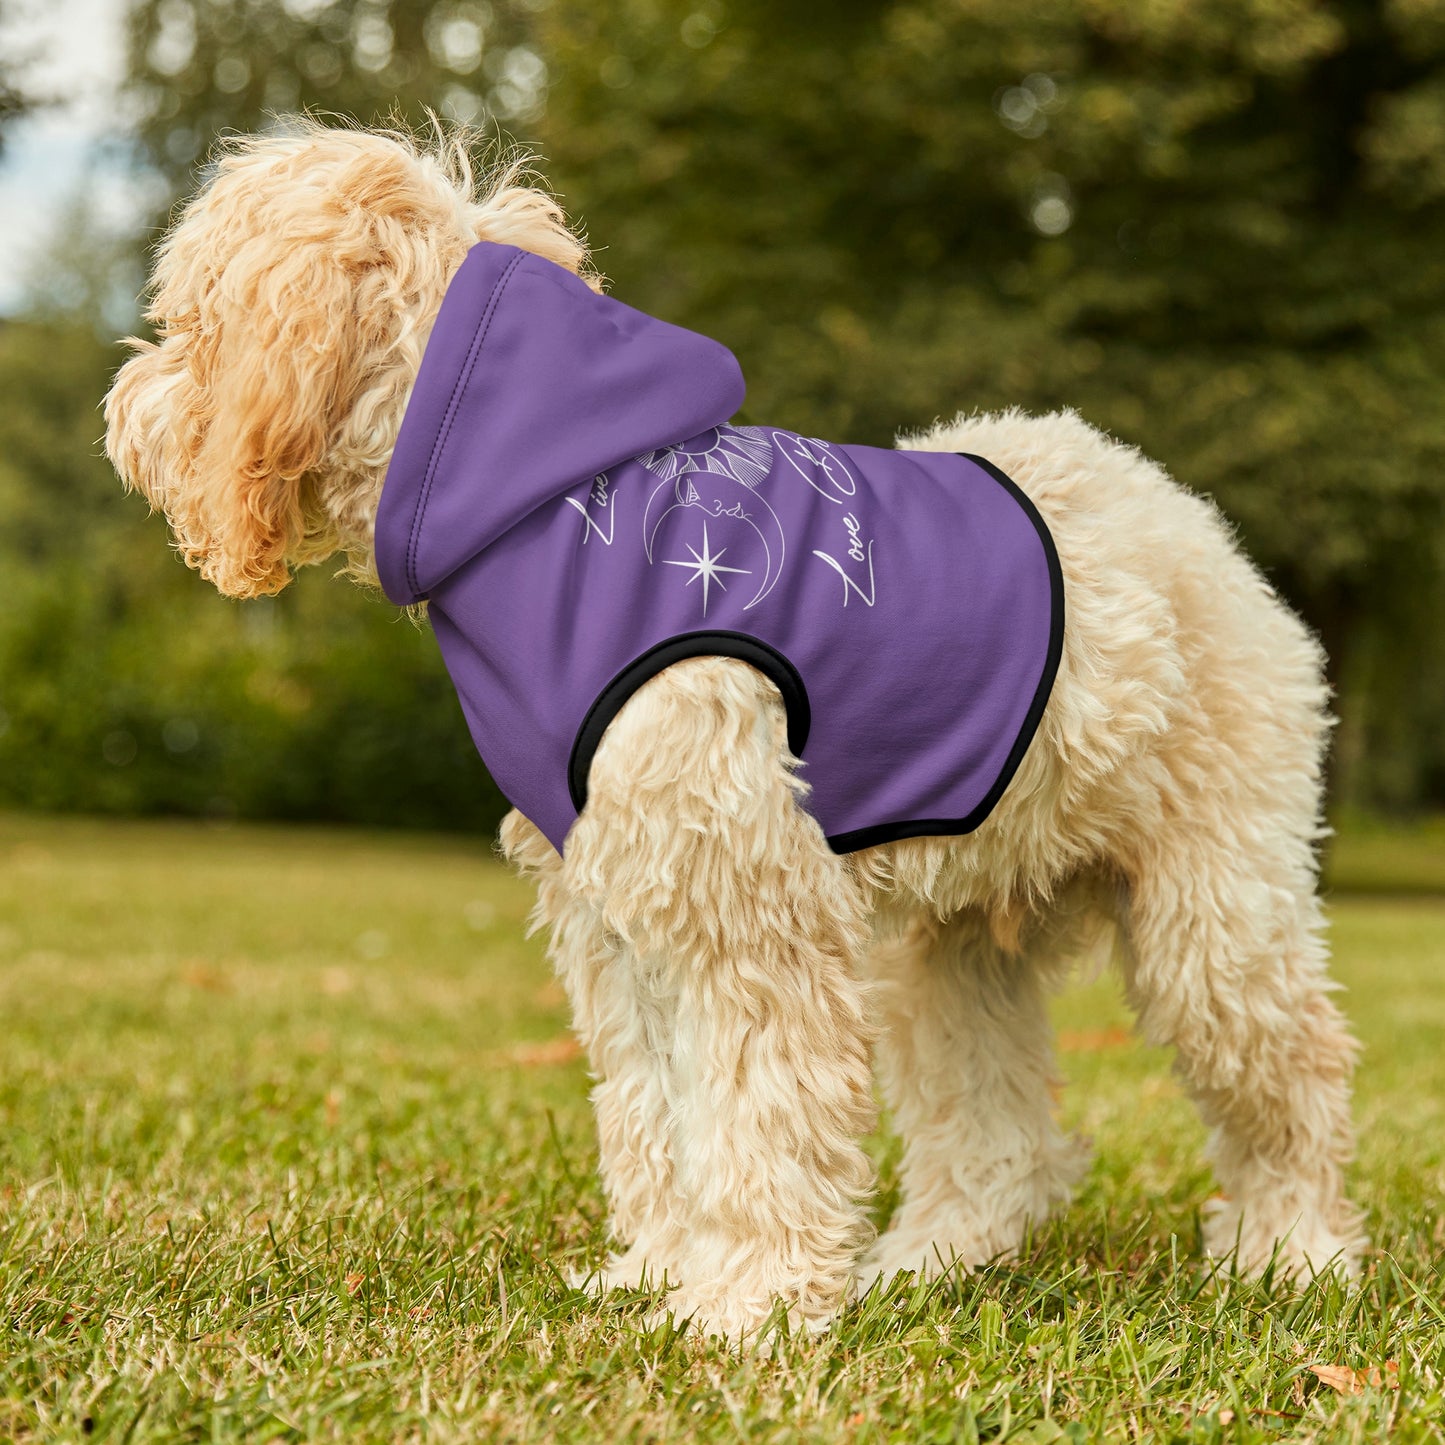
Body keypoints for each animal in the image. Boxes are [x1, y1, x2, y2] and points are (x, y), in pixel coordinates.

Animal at [106, 124, 1358, 1340]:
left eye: (189, 322)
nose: (122, 407)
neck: (542, 498)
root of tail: (1183, 516)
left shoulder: (745, 907)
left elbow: (758, 1114)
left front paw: (745, 1305)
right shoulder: (618, 913)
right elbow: (656, 1111)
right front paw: (661, 1272)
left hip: (1213, 915)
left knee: (1293, 1074)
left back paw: (1290, 1252)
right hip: (950, 947)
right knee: (997, 1133)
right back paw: (931, 1260)